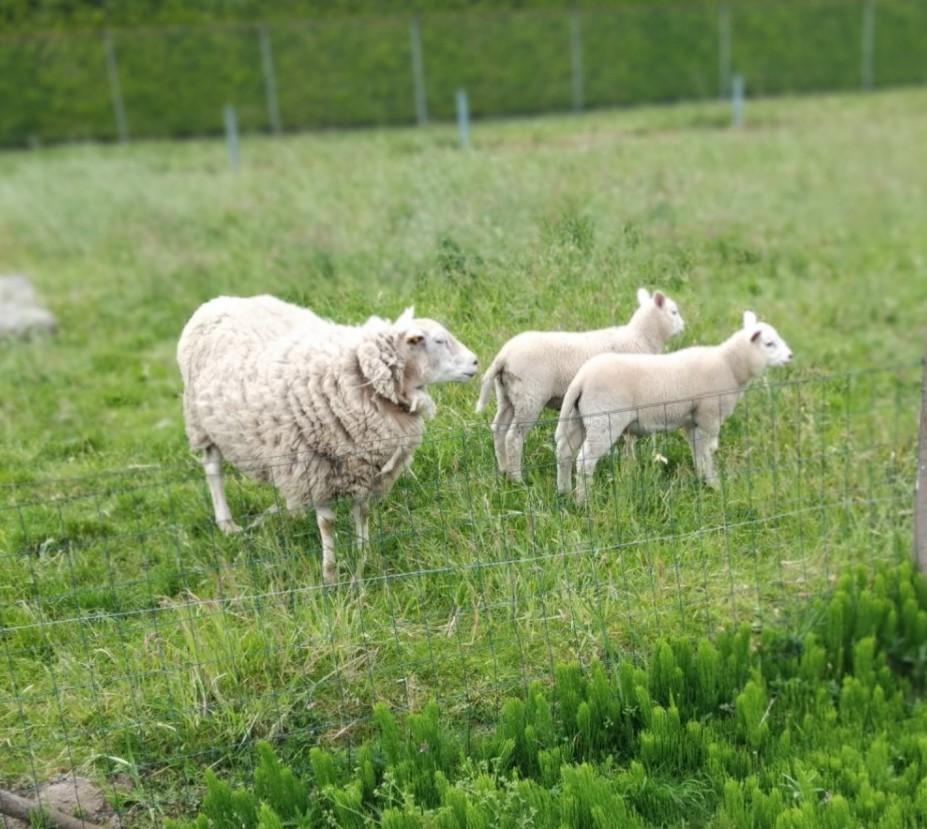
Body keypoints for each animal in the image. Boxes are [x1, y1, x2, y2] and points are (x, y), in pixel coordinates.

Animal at [177, 296, 479, 584]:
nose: (476, 361)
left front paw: (364, 557)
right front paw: (330, 575)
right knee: (213, 470)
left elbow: (362, 512)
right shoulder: (313, 468)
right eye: (439, 340)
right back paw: (226, 523)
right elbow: (327, 524)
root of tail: (216, 302)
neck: (361, 376)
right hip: (201, 423)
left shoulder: (364, 466)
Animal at [474, 288, 685, 482]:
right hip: (529, 397)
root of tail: (504, 356)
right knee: (513, 437)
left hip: (507, 395)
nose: (684, 327)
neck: (641, 338)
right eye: (674, 312)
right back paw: (518, 479)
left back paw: (504, 471)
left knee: (498, 430)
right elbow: (629, 438)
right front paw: (630, 463)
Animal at [555, 311, 793, 503]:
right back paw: (583, 500)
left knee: (565, 452)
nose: (791, 356)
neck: (730, 366)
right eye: (769, 344)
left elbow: (697, 450)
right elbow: (709, 450)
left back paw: (564, 491)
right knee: (584, 461)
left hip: (579, 419)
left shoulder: (692, 420)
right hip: (604, 420)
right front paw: (714, 483)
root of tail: (582, 378)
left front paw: (703, 480)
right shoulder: (709, 416)